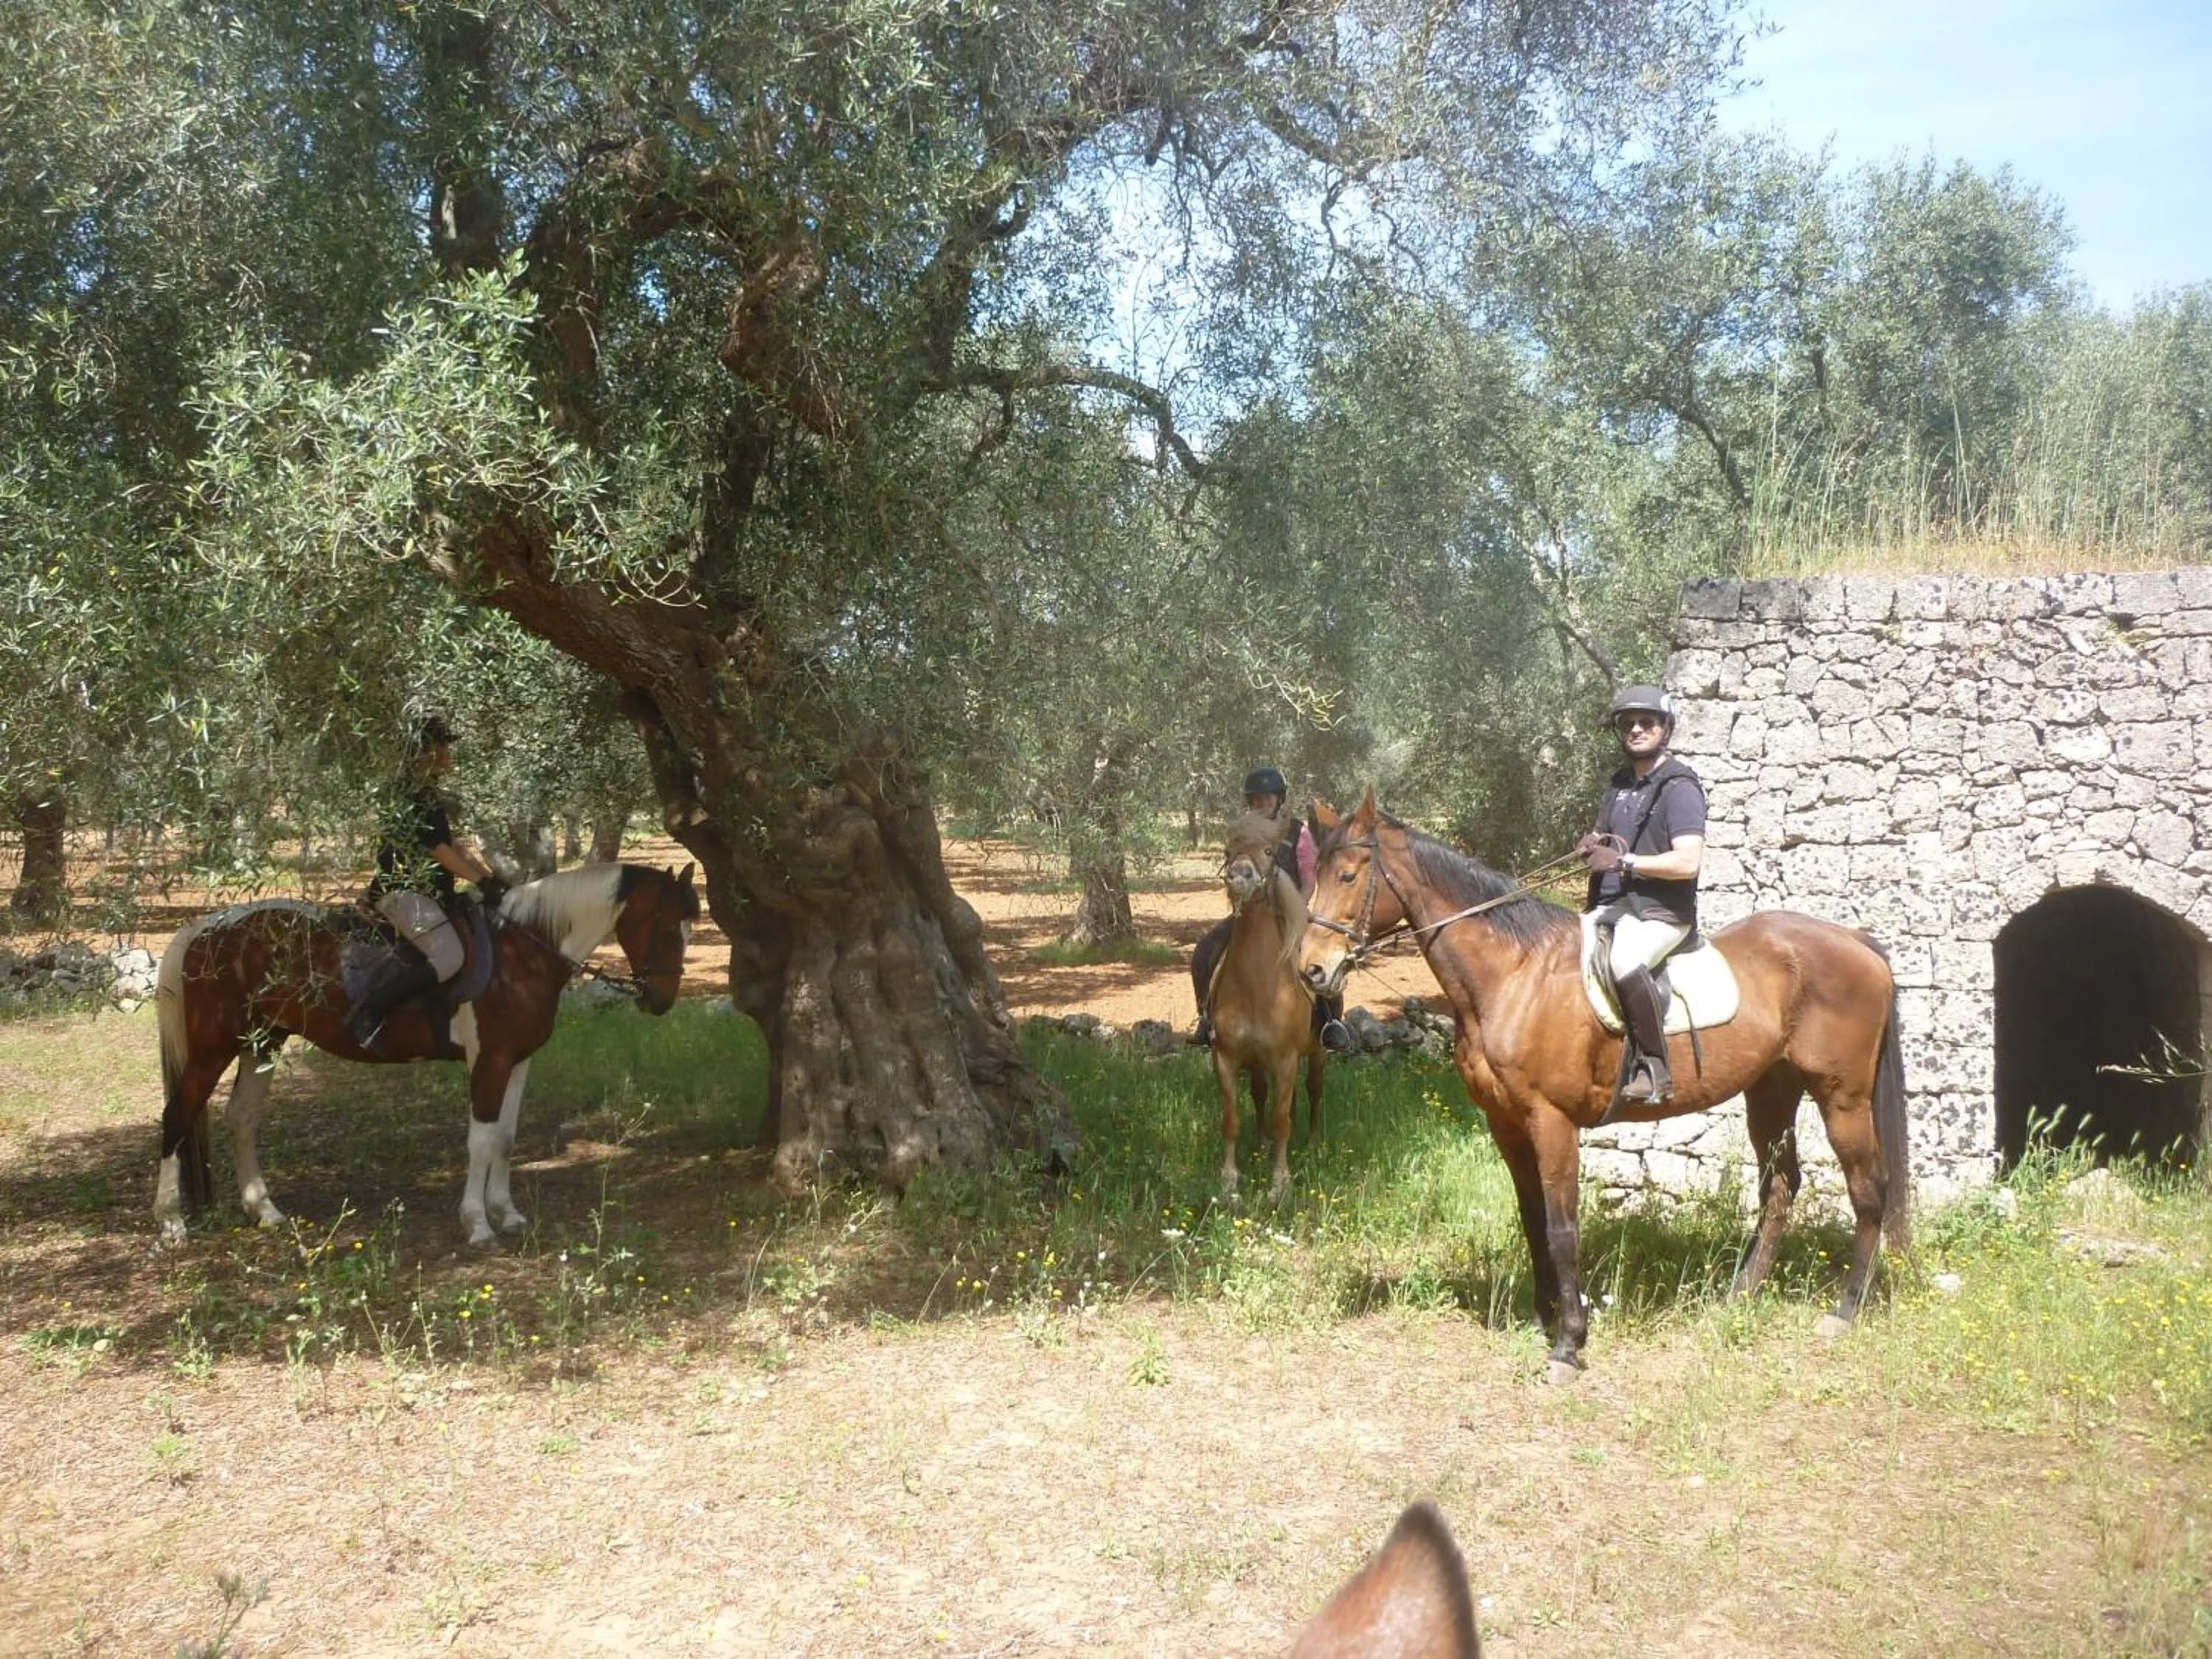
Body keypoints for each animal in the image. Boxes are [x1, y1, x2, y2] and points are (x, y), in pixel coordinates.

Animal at [153, 862, 700, 1248]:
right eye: (666, 926)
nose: (660, 1001)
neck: (523, 952)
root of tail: (207, 928)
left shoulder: (519, 1061)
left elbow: (506, 1139)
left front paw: (507, 1214)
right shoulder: (490, 1060)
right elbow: (480, 1142)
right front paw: (478, 1225)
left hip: (263, 1040)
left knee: (241, 1118)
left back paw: (264, 1212)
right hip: (213, 1048)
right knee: (177, 1116)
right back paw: (172, 1223)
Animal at [1207, 812, 1327, 1204]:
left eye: (1270, 851)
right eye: (1227, 851)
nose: (1239, 876)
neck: (1258, 987)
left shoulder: (1288, 1058)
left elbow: (1282, 1121)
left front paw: (1280, 1183)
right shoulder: (1226, 1057)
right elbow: (1232, 1119)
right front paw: (1229, 1181)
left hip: (1318, 1053)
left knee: (1313, 1091)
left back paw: (1313, 1143)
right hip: (1258, 1061)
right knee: (1262, 1095)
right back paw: (1260, 1147)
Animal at [1297, 793, 1908, 1381]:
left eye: (1348, 875)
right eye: (1314, 874)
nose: (1311, 971)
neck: (1515, 974)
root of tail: (1856, 940)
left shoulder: (1553, 1121)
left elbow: (1562, 1226)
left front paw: (1569, 1344)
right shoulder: (1506, 1122)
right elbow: (1532, 1218)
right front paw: (1542, 1316)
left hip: (1842, 1097)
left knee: (1868, 1190)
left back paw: (1845, 1309)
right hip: (1771, 1090)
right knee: (1780, 1187)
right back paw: (1739, 1296)